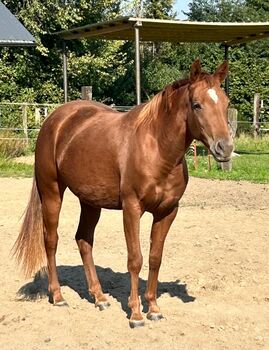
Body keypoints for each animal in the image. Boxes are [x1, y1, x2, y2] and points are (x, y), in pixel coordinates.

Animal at [13, 60, 232, 328]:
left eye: (226, 103)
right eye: (197, 104)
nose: (225, 147)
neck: (157, 148)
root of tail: (55, 119)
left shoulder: (167, 211)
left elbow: (155, 258)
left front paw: (154, 308)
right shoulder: (132, 209)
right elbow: (135, 259)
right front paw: (136, 314)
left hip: (90, 202)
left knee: (84, 240)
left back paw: (99, 297)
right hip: (52, 192)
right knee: (51, 240)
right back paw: (58, 296)